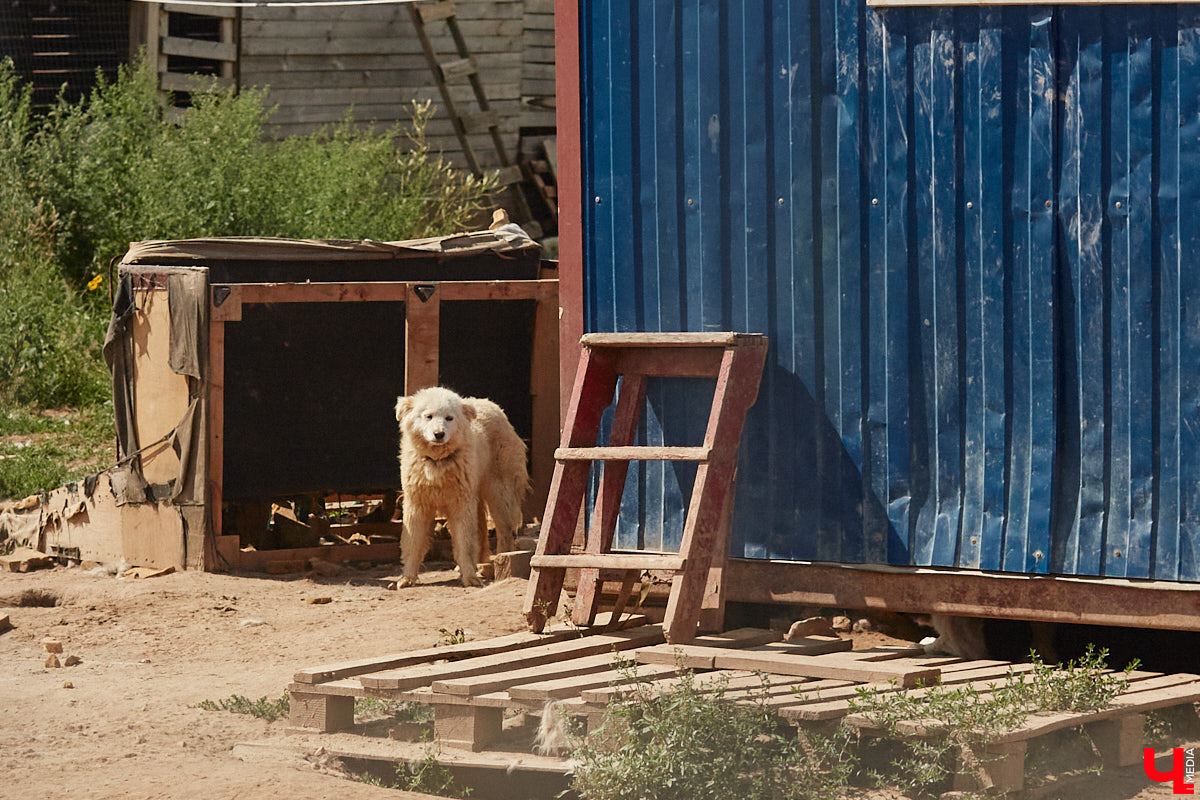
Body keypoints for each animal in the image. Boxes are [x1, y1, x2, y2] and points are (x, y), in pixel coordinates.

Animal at [396, 388, 528, 587]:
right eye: (428, 416)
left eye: (449, 418)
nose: (439, 434)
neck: (437, 461)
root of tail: (493, 405)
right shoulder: (417, 503)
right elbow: (412, 542)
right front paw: (407, 578)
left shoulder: (461, 504)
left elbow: (464, 541)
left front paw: (470, 577)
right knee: (481, 530)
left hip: (499, 491)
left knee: (504, 530)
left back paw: (501, 562)